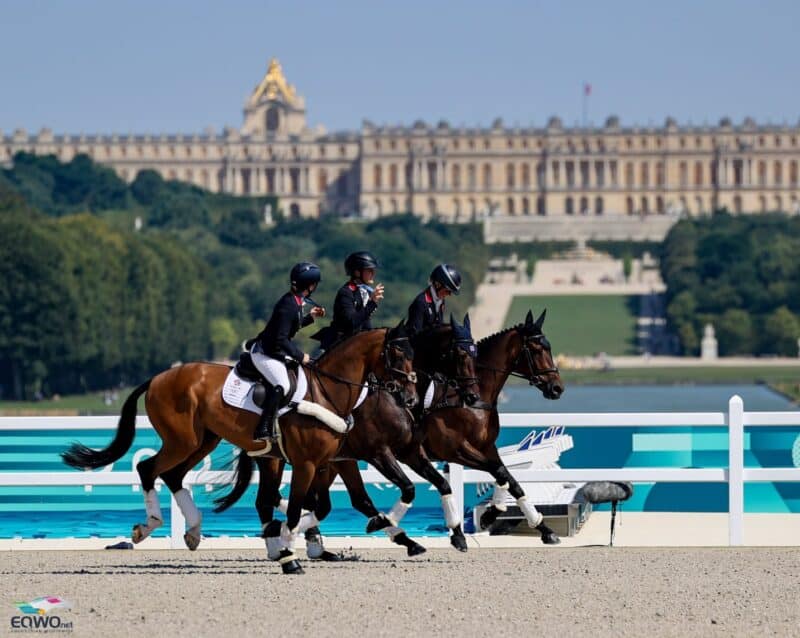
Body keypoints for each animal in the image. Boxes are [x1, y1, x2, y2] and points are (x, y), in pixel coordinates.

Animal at [62, 324, 416, 576]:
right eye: (398, 356)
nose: (410, 397)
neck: (328, 391)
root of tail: (159, 377)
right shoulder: (308, 463)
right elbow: (298, 509)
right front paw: (287, 550)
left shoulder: (325, 461)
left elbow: (316, 506)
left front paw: (284, 543)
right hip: (182, 441)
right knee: (148, 468)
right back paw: (146, 527)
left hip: (203, 441)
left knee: (174, 476)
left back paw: (193, 532)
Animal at [212, 316, 484, 560]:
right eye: (461, 354)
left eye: (475, 354)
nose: (473, 397)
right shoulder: (377, 454)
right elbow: (406, 488)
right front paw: (382, 522)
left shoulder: (408, 452)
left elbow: (442, 483)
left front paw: (458, 535)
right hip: (290, 460)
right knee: (280, 500)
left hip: (299, 460)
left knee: (277, 500)